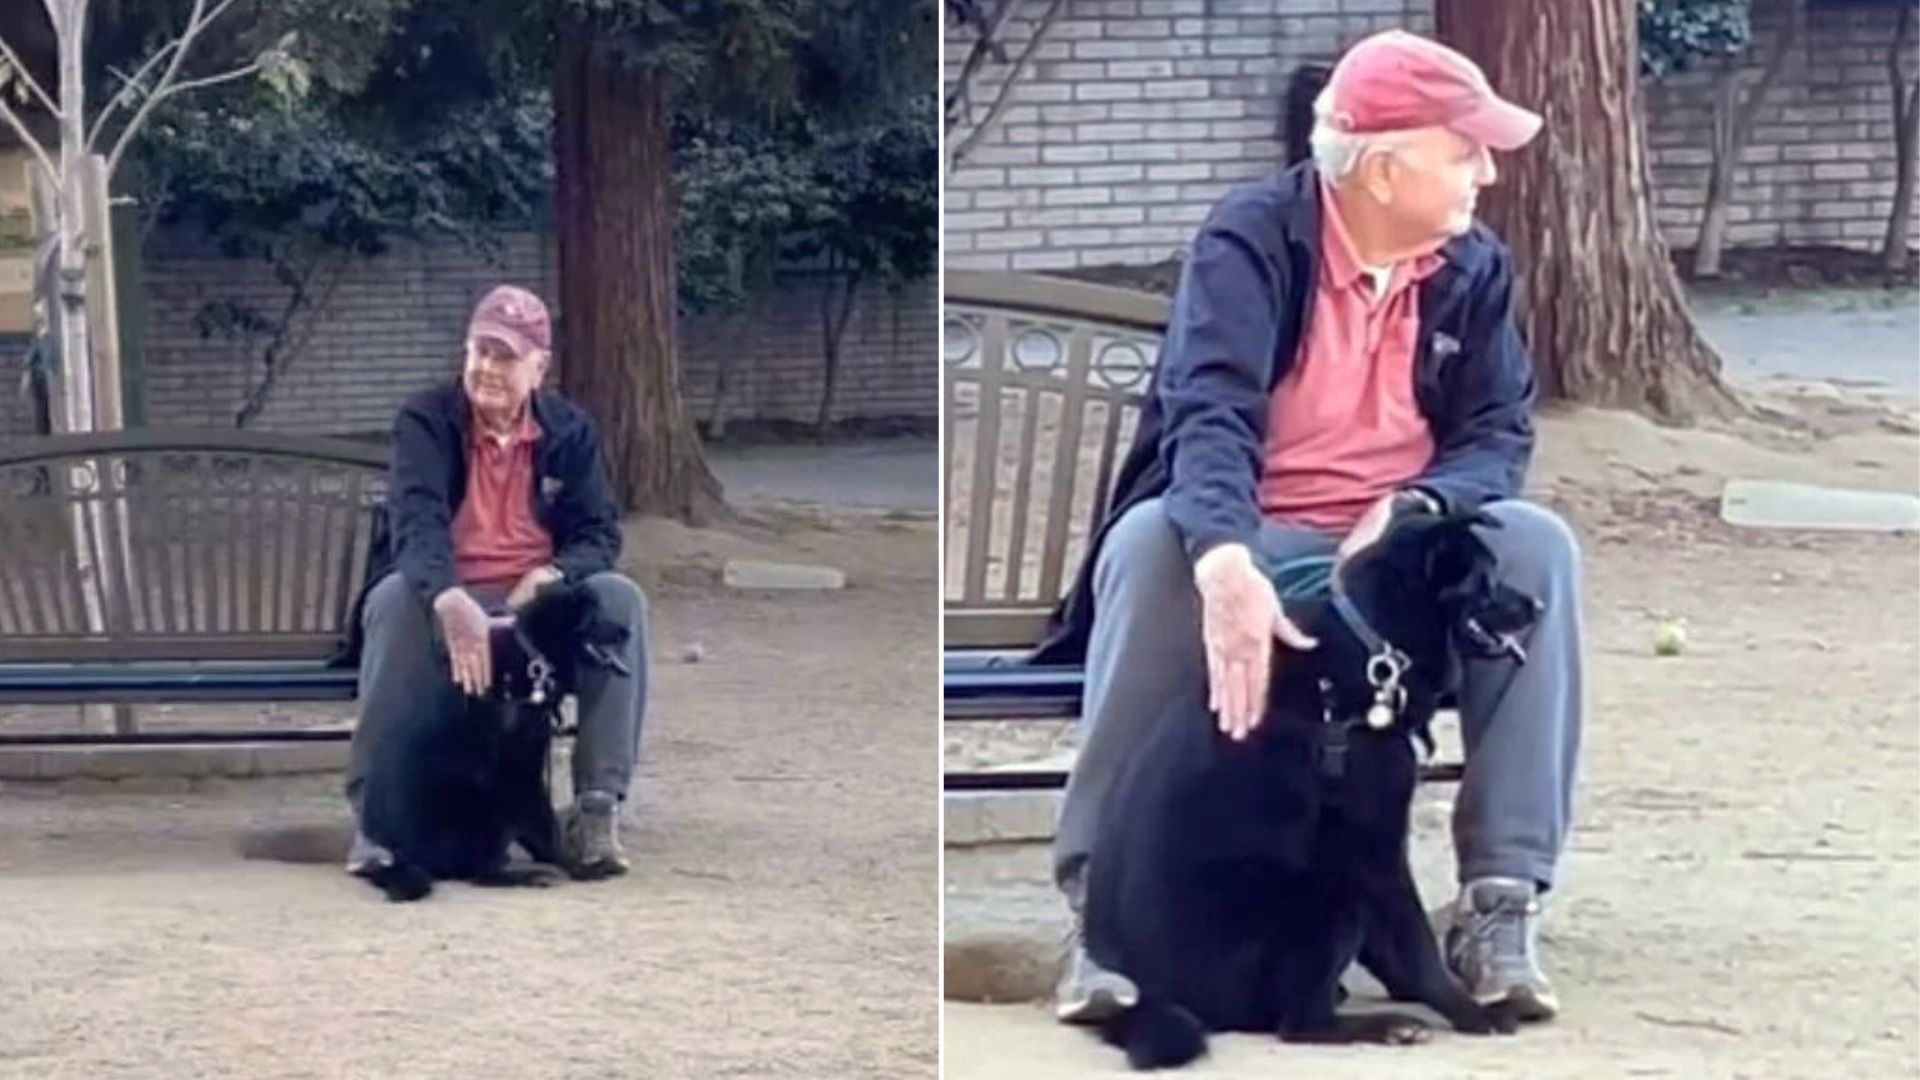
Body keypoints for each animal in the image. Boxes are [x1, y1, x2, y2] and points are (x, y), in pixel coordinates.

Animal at [357, 580, 633, 899]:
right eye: (593, 615)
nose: (627, 631)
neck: (532, 655)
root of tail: (401, 859)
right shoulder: (517, 772)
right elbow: (547, 831)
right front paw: (577, 868)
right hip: (484, 802)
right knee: (478, 874)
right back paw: (527, 875)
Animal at [1082, 507, 1543, 1060]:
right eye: (1486, 579)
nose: (1538, 605)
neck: (1377, 644)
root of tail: (1153, 998)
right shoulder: (1374, 847)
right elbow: (1416, 944)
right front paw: (1471, 1013)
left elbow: (1392, 947)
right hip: (1326, 891)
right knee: (1300, 1023)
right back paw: (1386, 1025)